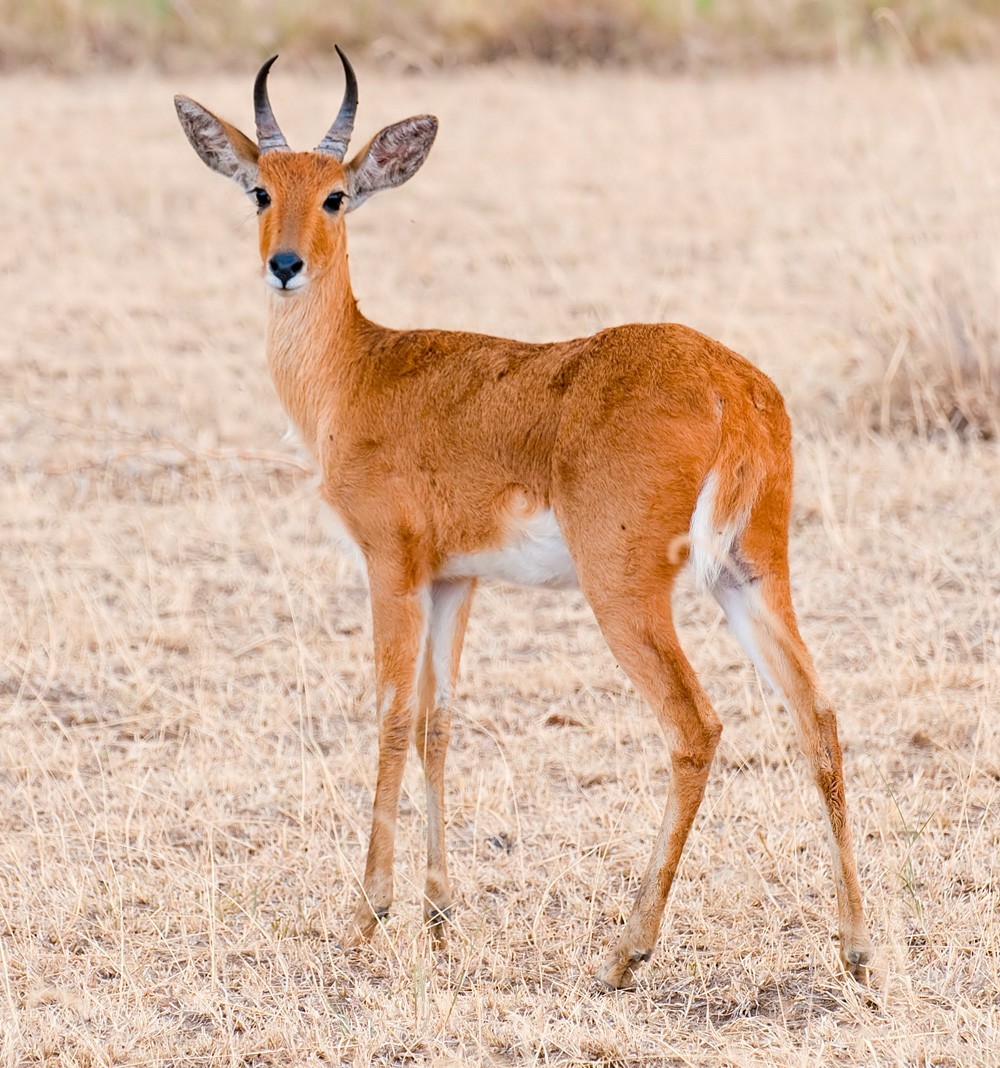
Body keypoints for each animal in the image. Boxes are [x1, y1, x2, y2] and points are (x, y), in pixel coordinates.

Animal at [174, 50, 874, 990]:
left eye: (335, 195)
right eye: (259, 190)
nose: (284, 264)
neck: (358, 372)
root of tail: (735, 387)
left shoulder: (390, 569)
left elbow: (388, 717)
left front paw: (367, 917)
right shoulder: (454, 581)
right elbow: (436, 723)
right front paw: (438, 917)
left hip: (625, 593)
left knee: (697, 727)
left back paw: (625, 951)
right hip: (750, 575)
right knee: (818, 717)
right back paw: (858, 950)